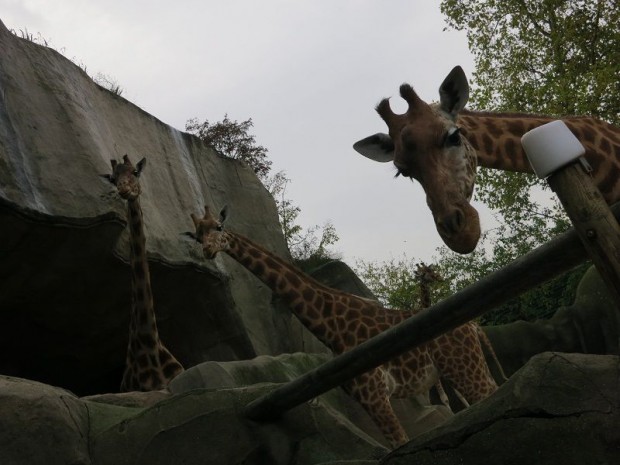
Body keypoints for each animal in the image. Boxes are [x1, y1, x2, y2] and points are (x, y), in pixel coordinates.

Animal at [185, 204, 498, 446]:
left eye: (219, 226)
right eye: (198, 237)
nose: (208, 251)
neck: (332, 325)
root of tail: (471, 327)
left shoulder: (375, 396)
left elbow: (401, 444)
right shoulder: (367, 399)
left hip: (462, 367)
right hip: (465, 367)